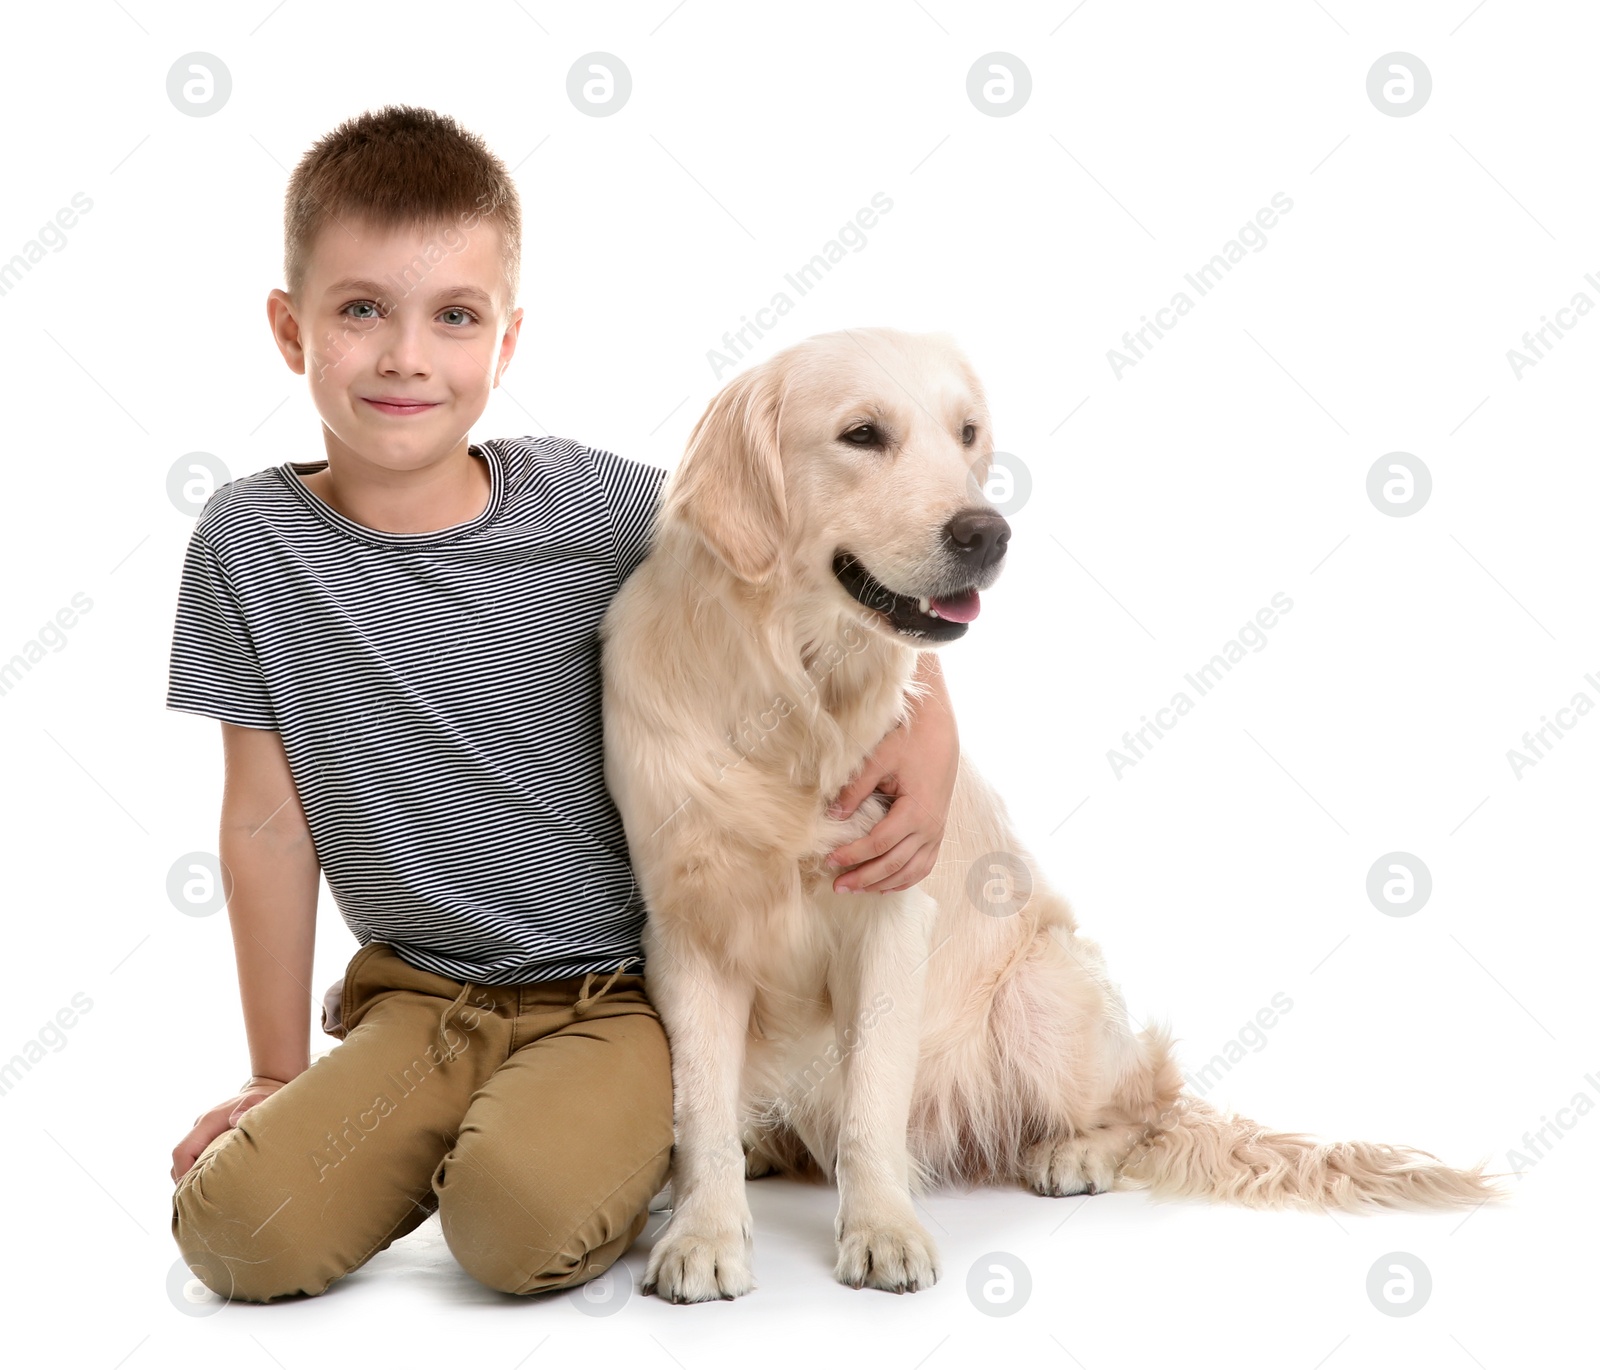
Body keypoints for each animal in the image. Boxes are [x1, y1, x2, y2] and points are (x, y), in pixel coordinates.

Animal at [601, 326, 1497, 1299]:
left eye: (966, 434)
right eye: (862, 435)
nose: (986, 532)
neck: (795, 690)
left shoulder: (890, 909)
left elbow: (873, 1097)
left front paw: (881, 1230)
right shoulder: (686, 923)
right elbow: (699, 1108)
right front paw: (703, 1235)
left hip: (1042, 992)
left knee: (1147, 1101)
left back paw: (1074, 1154)